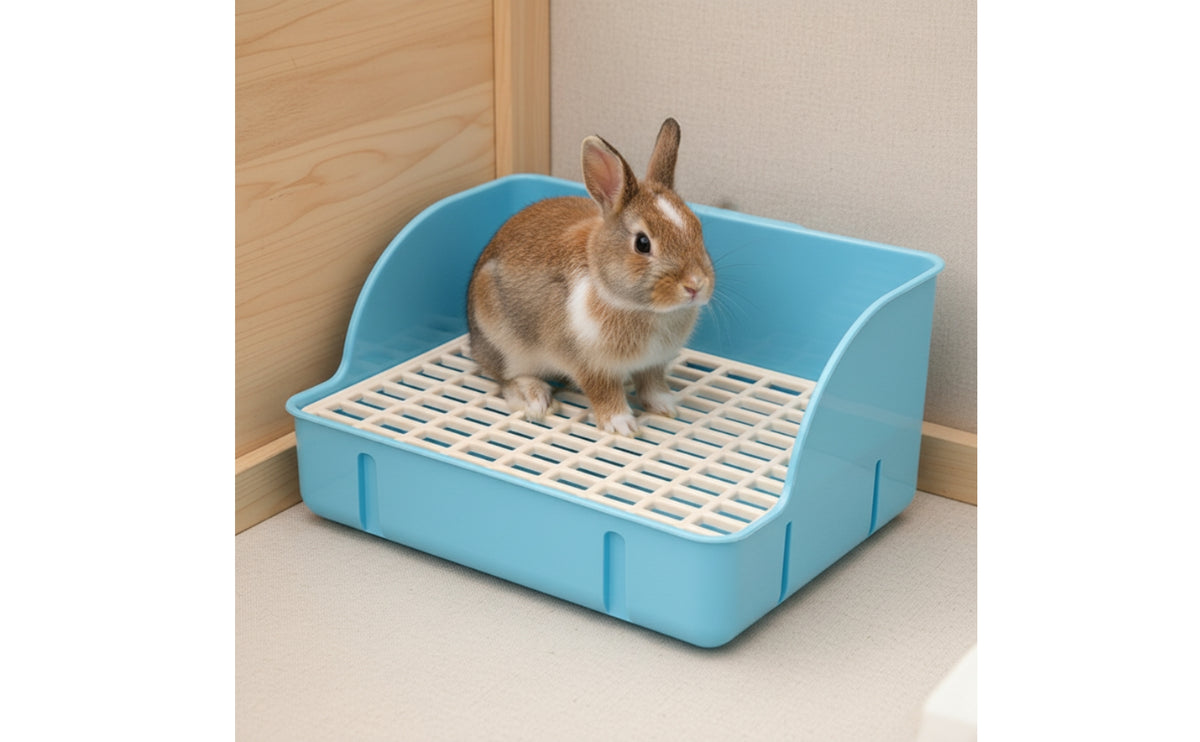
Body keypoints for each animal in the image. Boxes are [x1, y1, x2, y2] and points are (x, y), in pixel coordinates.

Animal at [466, 118, 715, 437]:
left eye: (698, 229)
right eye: (642, 243)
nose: (695, 285)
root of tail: (474, 342)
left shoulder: (653, 364)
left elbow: (652, 385)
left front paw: (666, 407)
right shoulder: (590, 366)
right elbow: (604, 394)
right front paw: (622, 425)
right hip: (504, 343)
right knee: (505, 378)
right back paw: (536, 399)